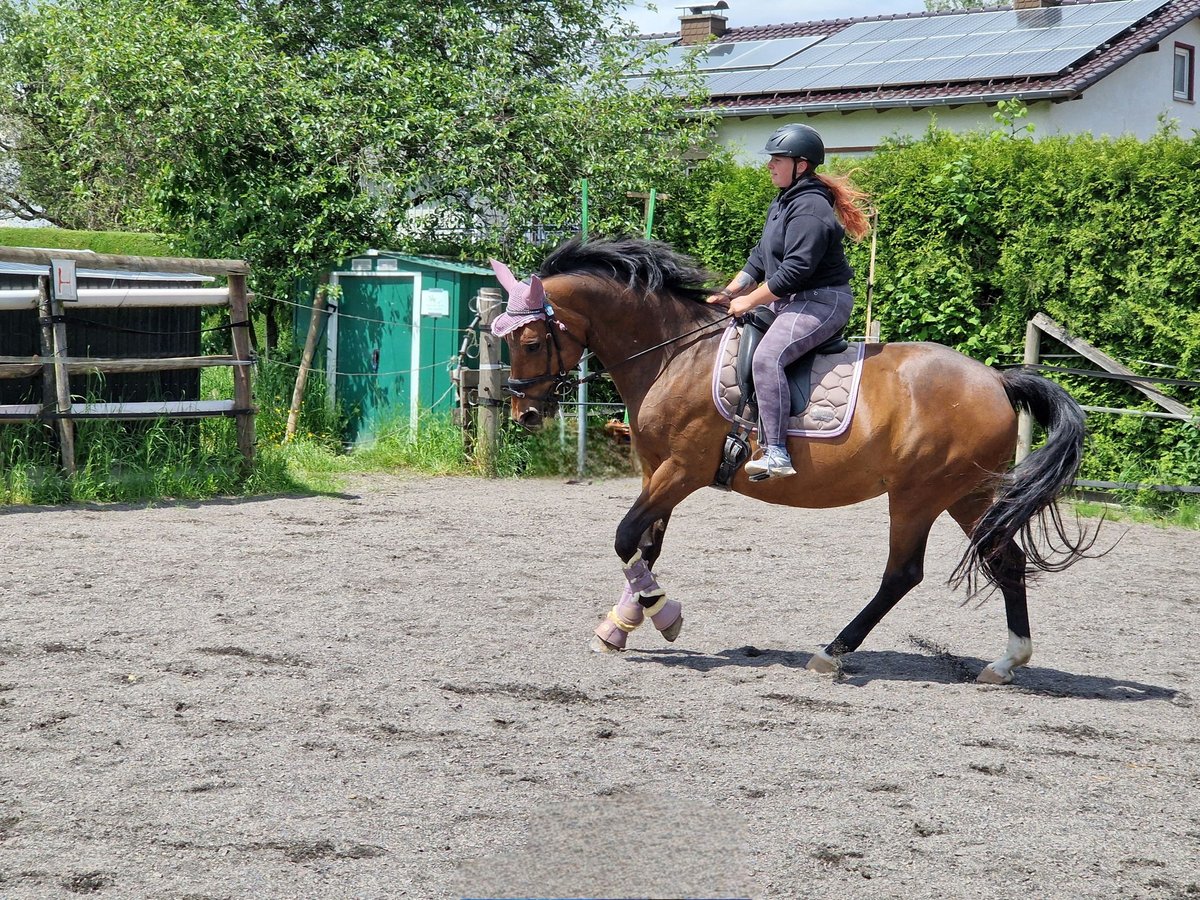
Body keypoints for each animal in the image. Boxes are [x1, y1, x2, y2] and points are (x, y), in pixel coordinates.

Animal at [489, 236, 1099, 686]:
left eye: (532, 342)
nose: (524, 413)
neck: (674, 354)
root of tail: (996, 380)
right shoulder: (654, 469)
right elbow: (644, 546)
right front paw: (621, 624)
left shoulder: (683, 470)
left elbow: (623, 538)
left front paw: (664, 615)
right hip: (968, 495)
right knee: (1006, 561)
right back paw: (1006, 662)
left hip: (919, 496)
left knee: (903, 574)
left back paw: (832, 653)